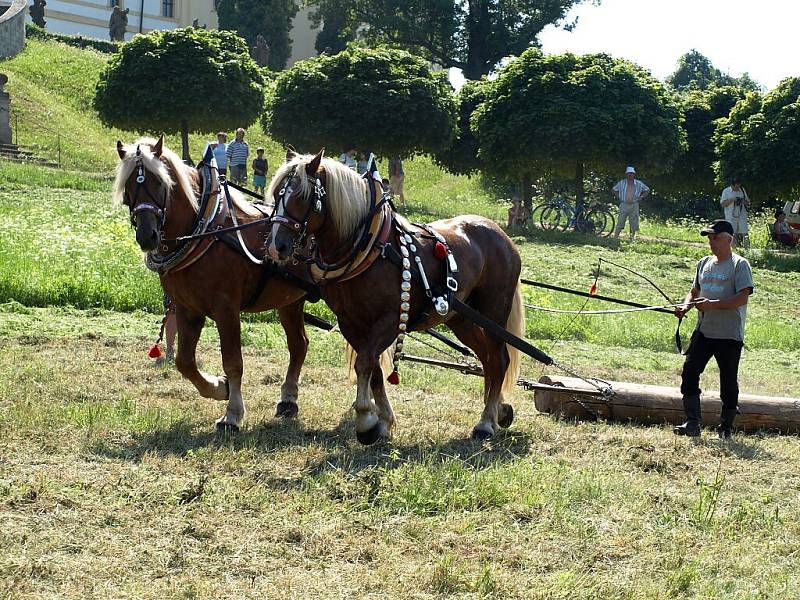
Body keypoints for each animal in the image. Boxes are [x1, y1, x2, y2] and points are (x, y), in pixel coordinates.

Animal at [115, 136, 316, 432]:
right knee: (299, 345)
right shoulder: (187, 309)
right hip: (290, 301)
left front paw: (232, 414)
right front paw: (219, 388)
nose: (147, 235)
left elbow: (233, 362)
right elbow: (184, 361)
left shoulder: (226, 310)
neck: (207, 231)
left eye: (161, 182)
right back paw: (288, 401)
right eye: (128, 187)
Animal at [268, 149, 524, 440]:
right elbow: (375, 369)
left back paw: (486, 422)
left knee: (500, 360)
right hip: (461, 318)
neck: (369, 246)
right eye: (276, 193)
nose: (276, 246)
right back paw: (496, 413)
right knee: (488, 360)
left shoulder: (389, 320)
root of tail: (503, 236)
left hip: (494, 311)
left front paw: (366, 420)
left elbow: (365, 363)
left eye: (301, 196)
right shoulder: (350, 323)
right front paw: (382, 422)